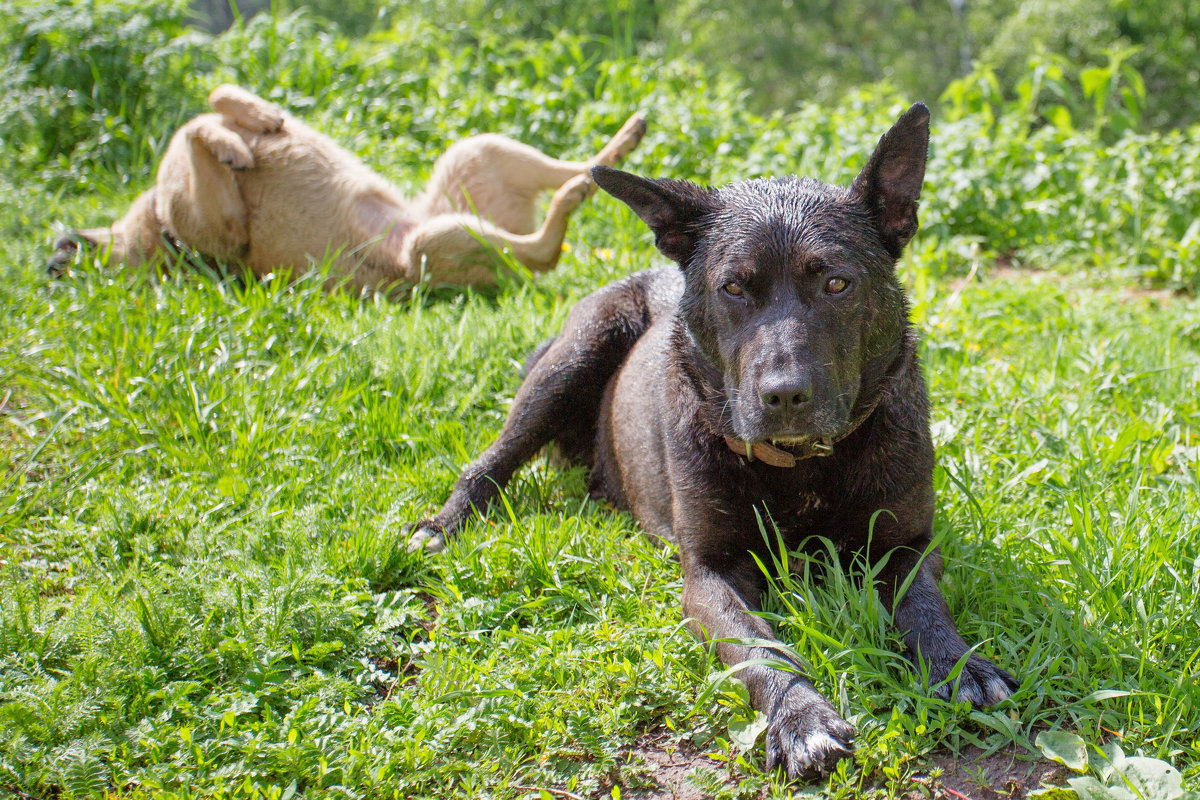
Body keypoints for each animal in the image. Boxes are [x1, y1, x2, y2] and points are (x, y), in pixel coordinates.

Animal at [49, 86, 648, 292]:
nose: (56, 258)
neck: (155, 234)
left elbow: (209, 106)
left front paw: (255, 119)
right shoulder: (221, 224)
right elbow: (194, 130)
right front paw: (236, 143)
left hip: (474, 155)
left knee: (573, 170)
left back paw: (619, 146)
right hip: (435, 240)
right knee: (545, 250)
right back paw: (578, 193)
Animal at [408, 103, 1017, 777]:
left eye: (836, 283)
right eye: (733, 287)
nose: (784, 395)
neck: (802, 471)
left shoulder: (904, 546)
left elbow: (922, 604)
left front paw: (958, 665)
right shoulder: (710, 570)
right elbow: (758, 645)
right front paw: (799, 717)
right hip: (573, 357)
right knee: (490, 459)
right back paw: (443, 524)